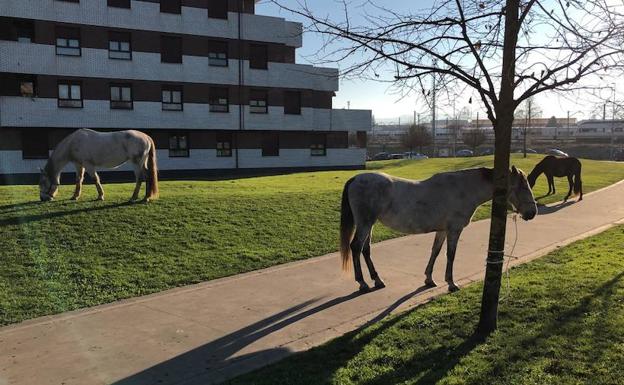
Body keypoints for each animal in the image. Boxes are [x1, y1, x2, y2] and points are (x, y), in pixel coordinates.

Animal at [338, 166, 540, 292]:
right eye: (523, 186)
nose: (532, 212)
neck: (464, 189)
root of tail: (355, 179)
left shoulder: (442, 230)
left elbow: (435, 251)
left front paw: (429, 279)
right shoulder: (454, 230)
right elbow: (450, 255)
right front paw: (451, 283)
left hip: (369, 223)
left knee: (365, 249)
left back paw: (377, 280)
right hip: (365, 223)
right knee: (356, 247)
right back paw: (363, 283)